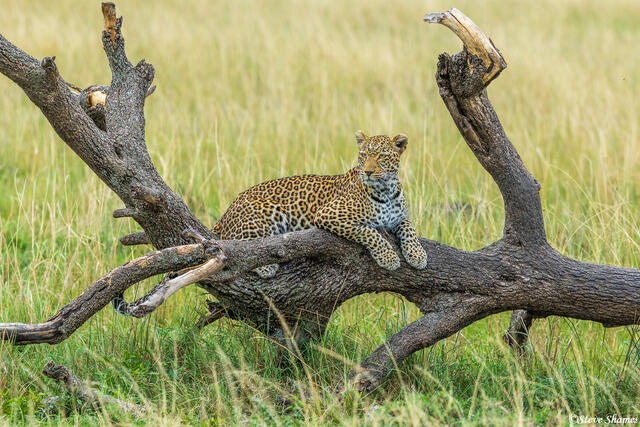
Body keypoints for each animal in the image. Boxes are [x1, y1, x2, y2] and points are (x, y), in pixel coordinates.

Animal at [212, 130, 428, 278]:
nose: (367, 172)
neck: (387, 190)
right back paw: (266, 267)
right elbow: (370, 233)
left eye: (382, 156)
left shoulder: (400, 218)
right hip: (265, 213)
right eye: (364, 156)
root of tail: (224, 216)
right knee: (245, 248)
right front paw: (388, 258)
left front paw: (417, 255)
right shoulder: (330, 214)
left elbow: (410, 230)